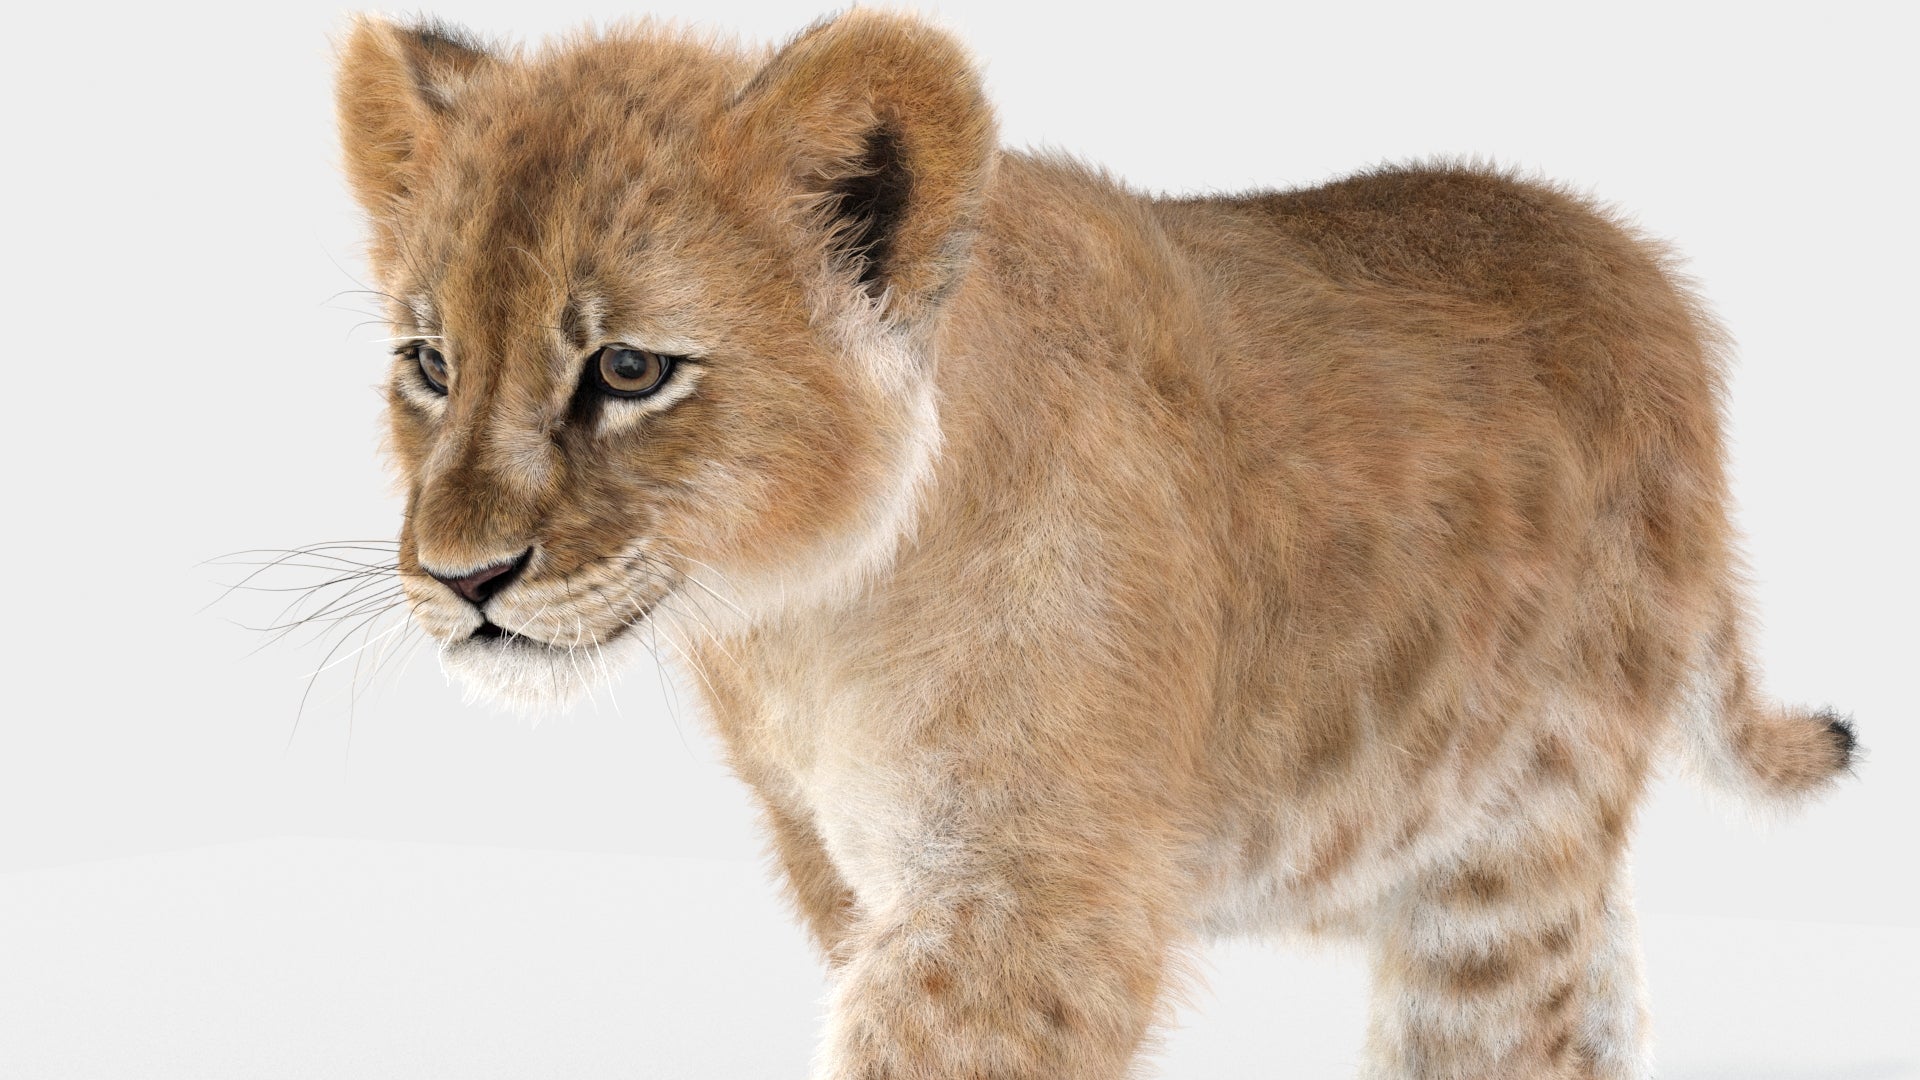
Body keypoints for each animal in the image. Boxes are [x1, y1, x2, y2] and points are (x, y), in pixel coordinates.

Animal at [332, 11, 1856, 1077]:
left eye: (631, 370)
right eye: (430, 365)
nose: (463, 580)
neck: (803, 630)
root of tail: (1645, 274)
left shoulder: (1035, 908)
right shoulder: (846, 868)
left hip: (1512, 838)